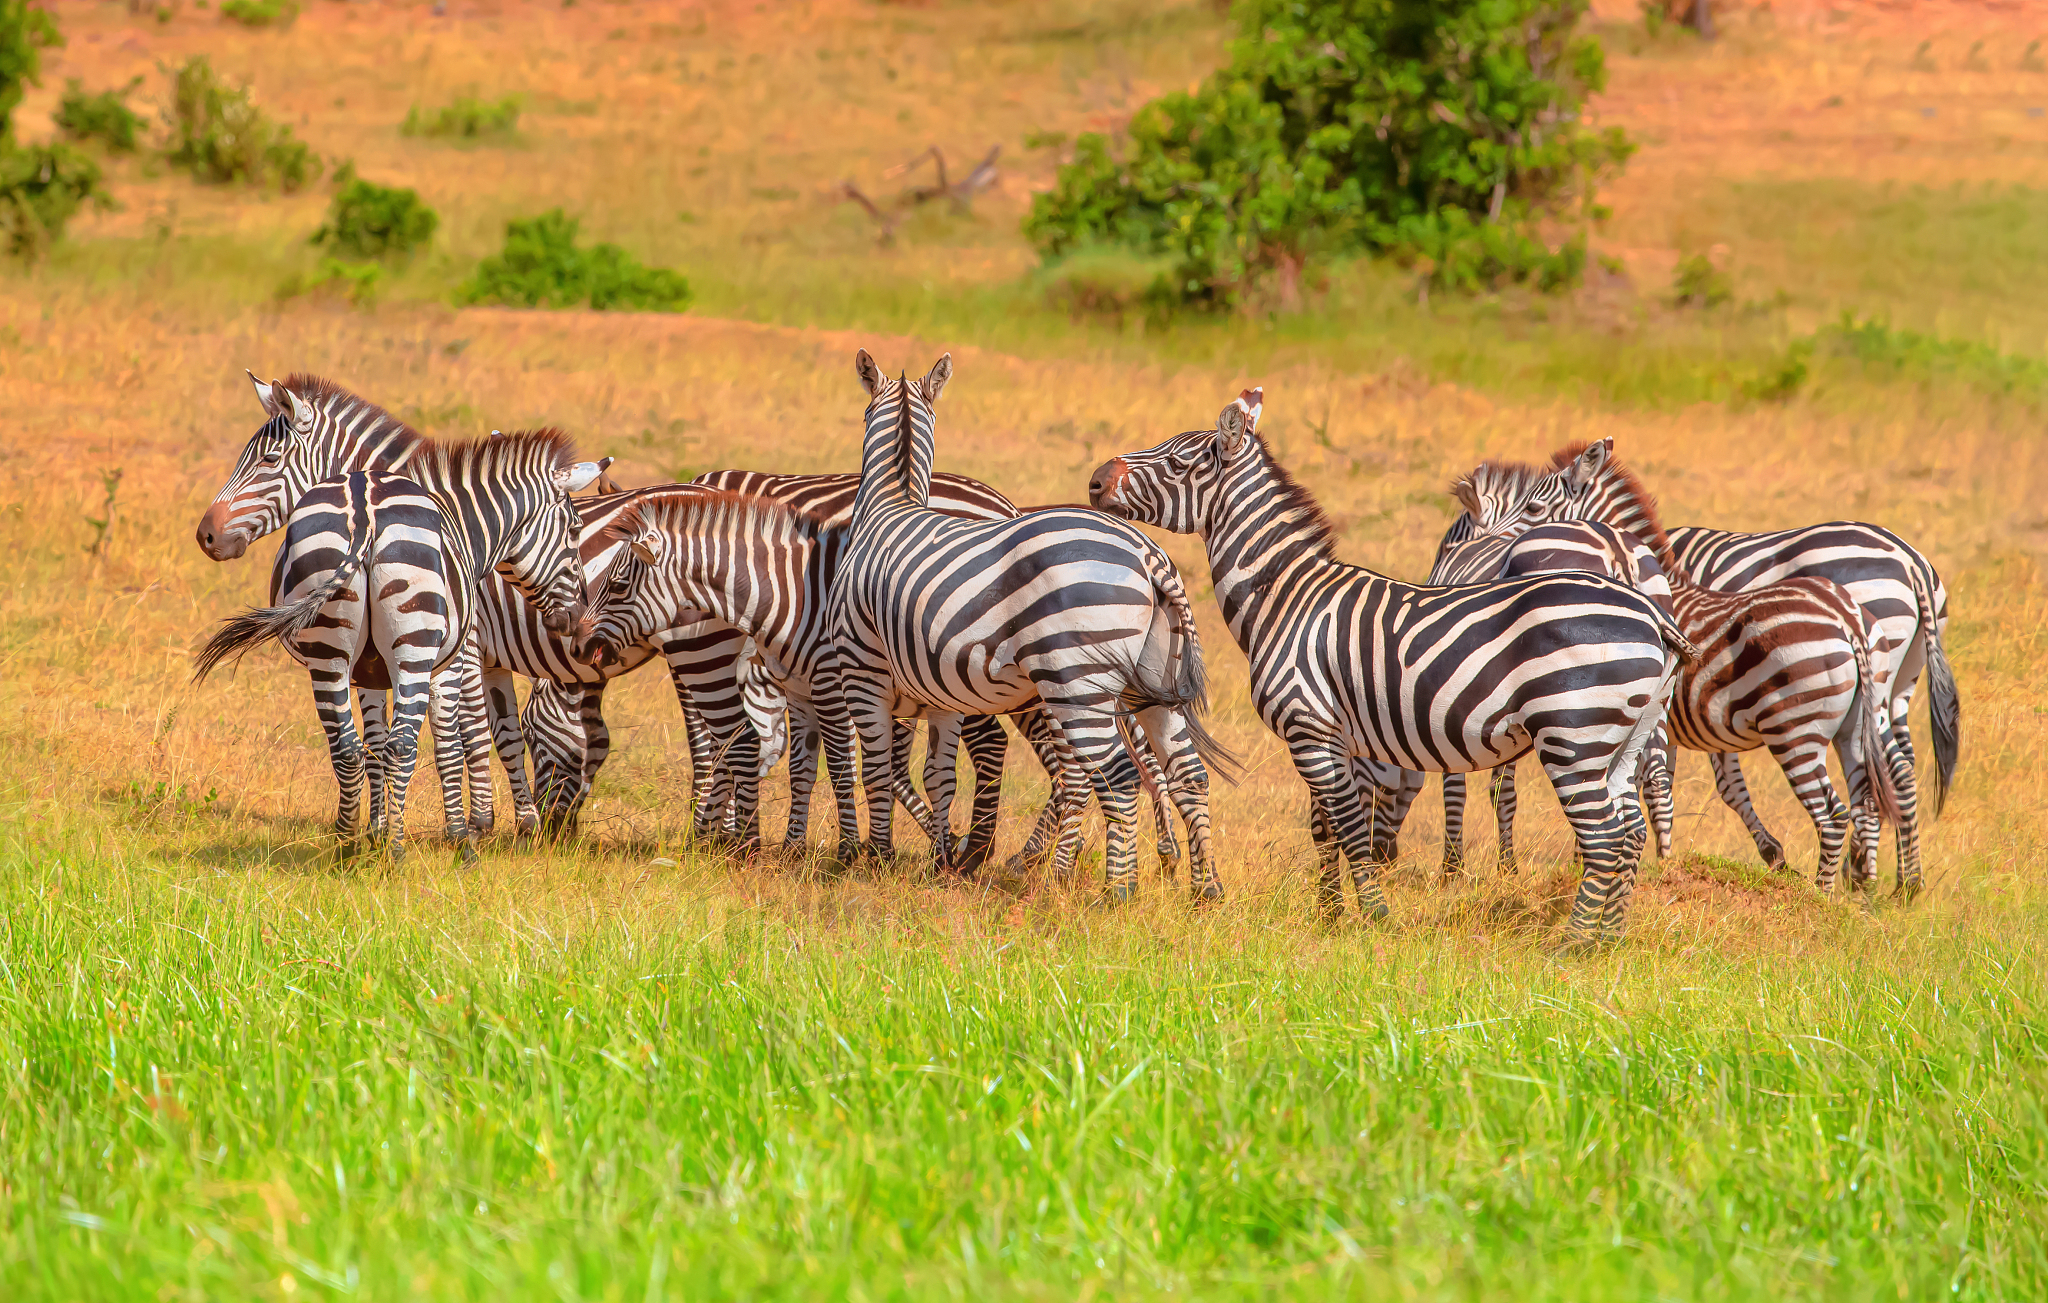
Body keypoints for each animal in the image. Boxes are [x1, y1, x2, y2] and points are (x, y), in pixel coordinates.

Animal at [193, 430, 603, 861]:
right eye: (575, 530)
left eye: (269, 460)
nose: (578, 616)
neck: (462, 521)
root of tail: (363, 512)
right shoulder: (453, 661)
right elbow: (456, 743)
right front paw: (465, 836)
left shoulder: (370, 673)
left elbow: (376, 744)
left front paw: (376, 830)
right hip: (413, 649)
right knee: (404, 745)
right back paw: (397, 853)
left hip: (328, 650)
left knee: (346, 748)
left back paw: (347, 848)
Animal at [819, 351, 1229, 901]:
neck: (891, 507)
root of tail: (1148, 554)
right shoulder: (939, 693)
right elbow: (938, 776)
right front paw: (940, 861)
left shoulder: (863, 674)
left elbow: (879, 770)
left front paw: (875, 859)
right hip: (1149, 682)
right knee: (1188, 773)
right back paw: (1206, 890)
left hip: (1076, 681)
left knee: (1118, 778)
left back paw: (1116, 891)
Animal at [1088, 390, 1694, 944]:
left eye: (1177, 461)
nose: (1094, 481)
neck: (1285, 597)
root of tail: (1649, 610)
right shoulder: (1333, 736)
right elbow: (1324, 827)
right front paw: (1329, 918)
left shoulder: (1309, 726)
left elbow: (1351, 828)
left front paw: (1374, 918)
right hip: (1624, 737)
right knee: (1630, 830)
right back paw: (1609, 938)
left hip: (1574, 733)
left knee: (1603, 838)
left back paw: (1574, 944)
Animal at [1452, 438, 1952, 896]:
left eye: (1534, 506)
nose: (1493, 559)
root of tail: (1910, 559)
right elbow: (1673, 785)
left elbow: (1655, 786)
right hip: (1887, 693)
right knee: (1890, 776)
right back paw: (1890, 883)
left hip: (1808, 719)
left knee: (1848, 799)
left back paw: (1844, 887)